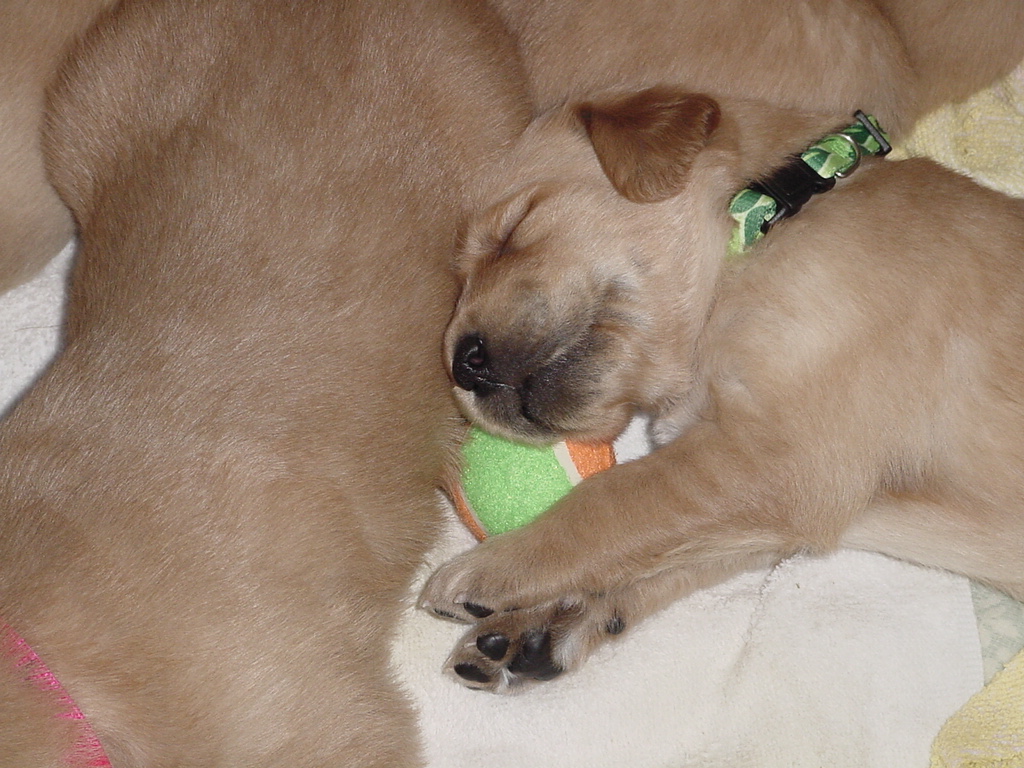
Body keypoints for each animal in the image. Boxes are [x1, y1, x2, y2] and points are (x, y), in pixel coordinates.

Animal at [419, 88, 1024, 692]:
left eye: (512, 231)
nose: (463, 365)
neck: (762, 219)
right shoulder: (784, 499)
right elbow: (661, 554)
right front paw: (541, 623)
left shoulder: (782, 455)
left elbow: (613, 501)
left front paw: (491, 568)